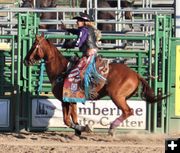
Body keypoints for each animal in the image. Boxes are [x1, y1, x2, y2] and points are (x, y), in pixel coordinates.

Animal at [23, 33, 169, 136]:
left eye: (34, 46)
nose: (25, 60)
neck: (62, 70)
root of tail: (135, 74)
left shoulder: (65, 100)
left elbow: (67, 120)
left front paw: (86, 128)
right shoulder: (72, 101)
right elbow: (74, 117)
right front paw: (79, 130)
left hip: (117, 96)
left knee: (128, 111)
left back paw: (111, 129)